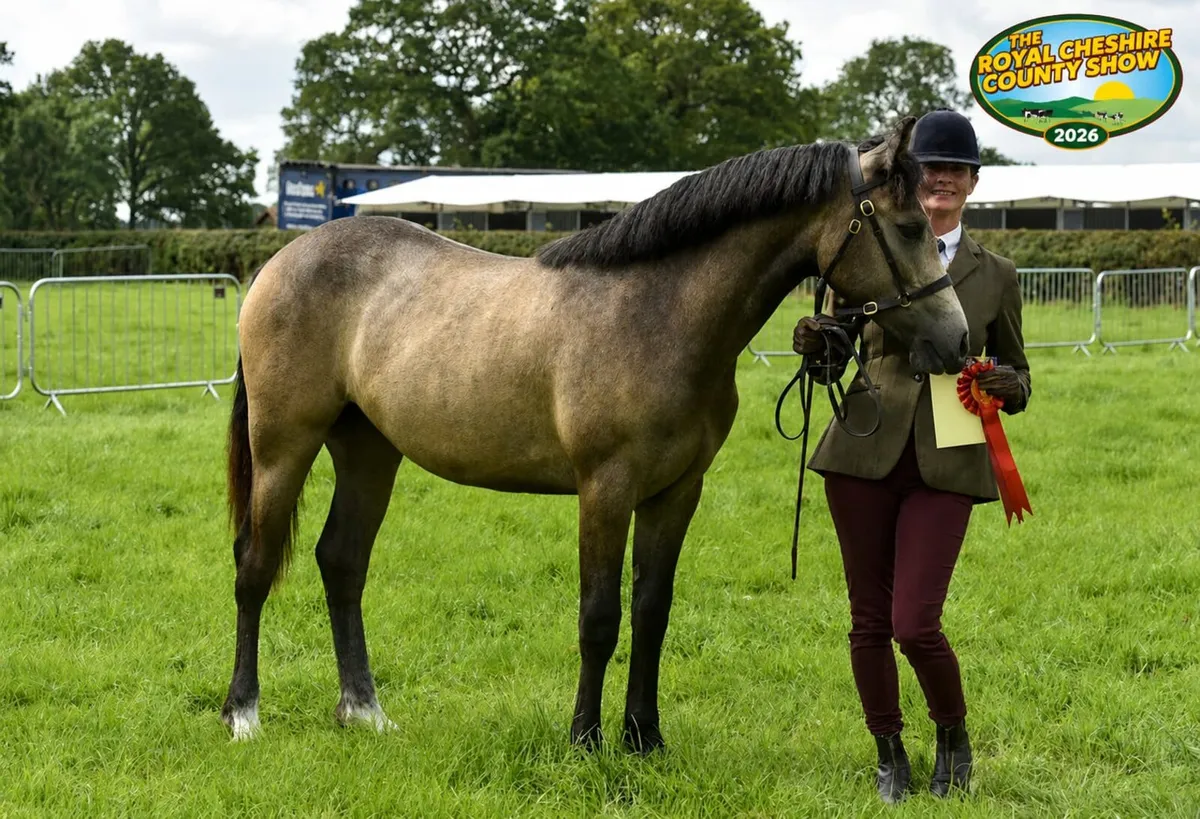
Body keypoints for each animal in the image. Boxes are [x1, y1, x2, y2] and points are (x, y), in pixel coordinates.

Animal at [219, 115, 970, 751]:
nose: (957, 341)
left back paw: (365, 711)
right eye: (909, 226)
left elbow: (652, 610)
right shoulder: (605, 490)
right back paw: (243, 714)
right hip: (282, 445)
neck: (658, 313)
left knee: (342, 562)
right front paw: (585, 738)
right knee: (254, 566)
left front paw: (644, 736)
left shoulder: (677, 492)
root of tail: (280, 263)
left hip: (369, 451)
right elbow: (599, 616)